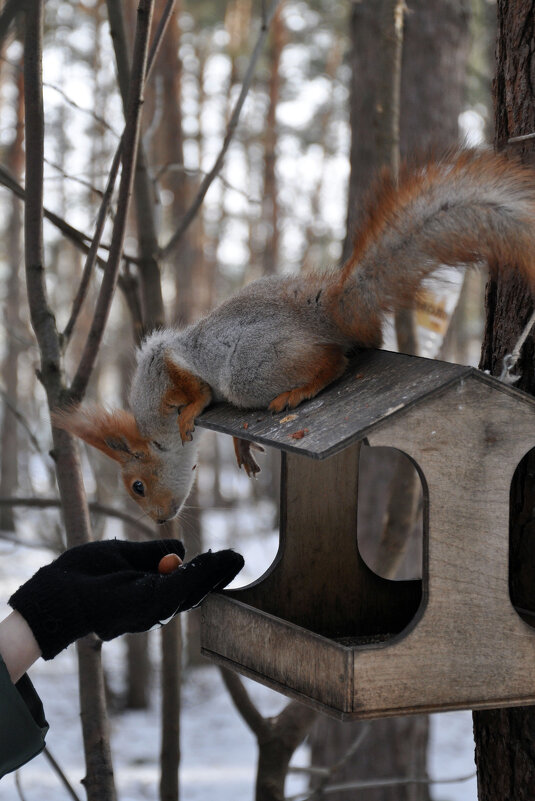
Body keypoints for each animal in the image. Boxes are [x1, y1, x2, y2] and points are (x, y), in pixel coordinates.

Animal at [53, 148, 535, 524]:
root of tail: (325, 312)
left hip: (248, 369)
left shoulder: (166, 361)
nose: (158, 519)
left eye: (137, 485)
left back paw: (298, 391)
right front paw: (241, 448)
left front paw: (191, 412)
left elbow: (194, 386)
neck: (154, 430)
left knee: (332, 362)